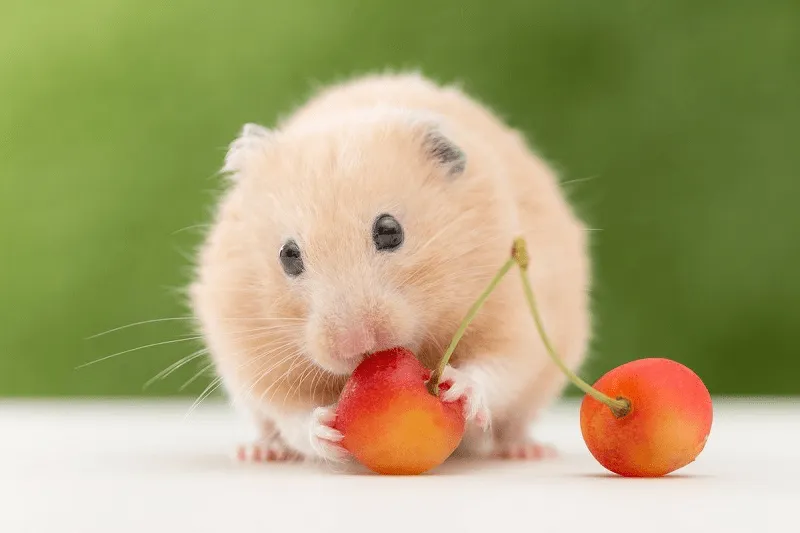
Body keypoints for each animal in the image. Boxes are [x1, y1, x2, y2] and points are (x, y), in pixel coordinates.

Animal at [188, 71, 591, 463]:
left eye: (389, 231)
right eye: (288, 255)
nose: (356, 345)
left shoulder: (515, 315)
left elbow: (498, 366)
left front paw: (456, 387)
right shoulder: (252, 354)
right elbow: (291, 414)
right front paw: (325, 428)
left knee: (515, 421)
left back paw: (528, 450)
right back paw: (259, 452)